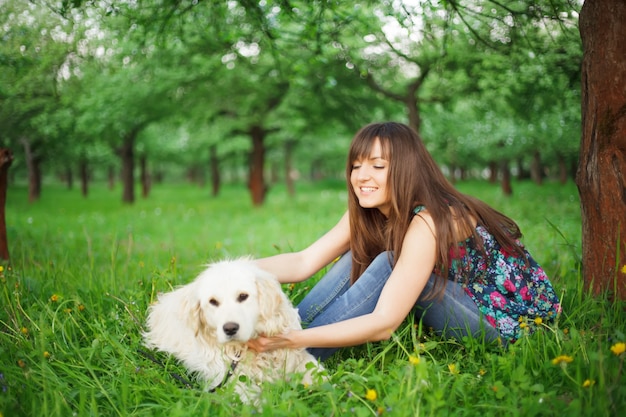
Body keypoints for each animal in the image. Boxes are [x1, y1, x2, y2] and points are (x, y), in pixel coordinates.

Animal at [142, 256, 322, 400]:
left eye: (243, 296)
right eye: (213, 302)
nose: (230, 329)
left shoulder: (298, 357)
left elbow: (319, 374)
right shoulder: (231, 380)